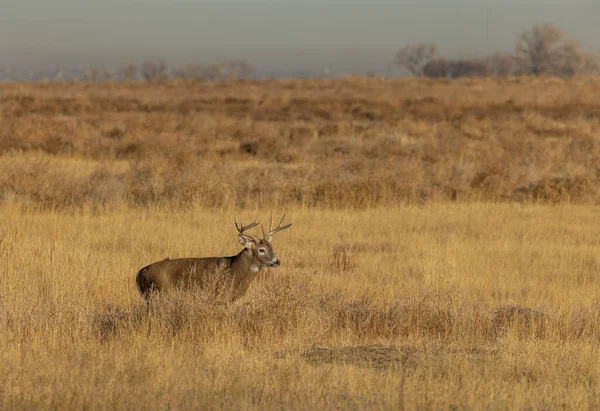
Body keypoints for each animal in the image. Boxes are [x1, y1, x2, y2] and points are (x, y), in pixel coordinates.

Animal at [134, 216, 292, 302]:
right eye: (261, 250)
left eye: (271, 247)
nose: (277, 261)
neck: (234, 270)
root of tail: (140, 273)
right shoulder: (219, 296)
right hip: (158, 293)